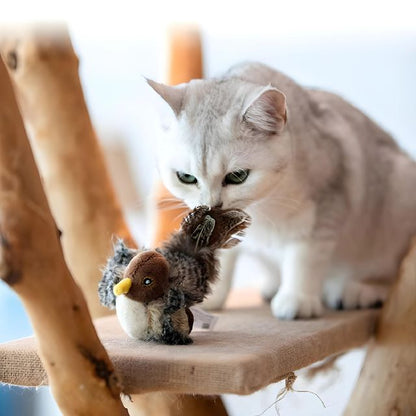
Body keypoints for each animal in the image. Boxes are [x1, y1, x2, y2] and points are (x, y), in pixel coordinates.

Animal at [146, 61, 416, 320]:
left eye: (237, 176)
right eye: (186, 177)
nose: (213, 205)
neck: (261, 207)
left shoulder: (327, 204)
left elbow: (305, 257)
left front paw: (298, 299)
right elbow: (222, 256)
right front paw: (209, 295)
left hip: (398, 197)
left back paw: (358, 290)